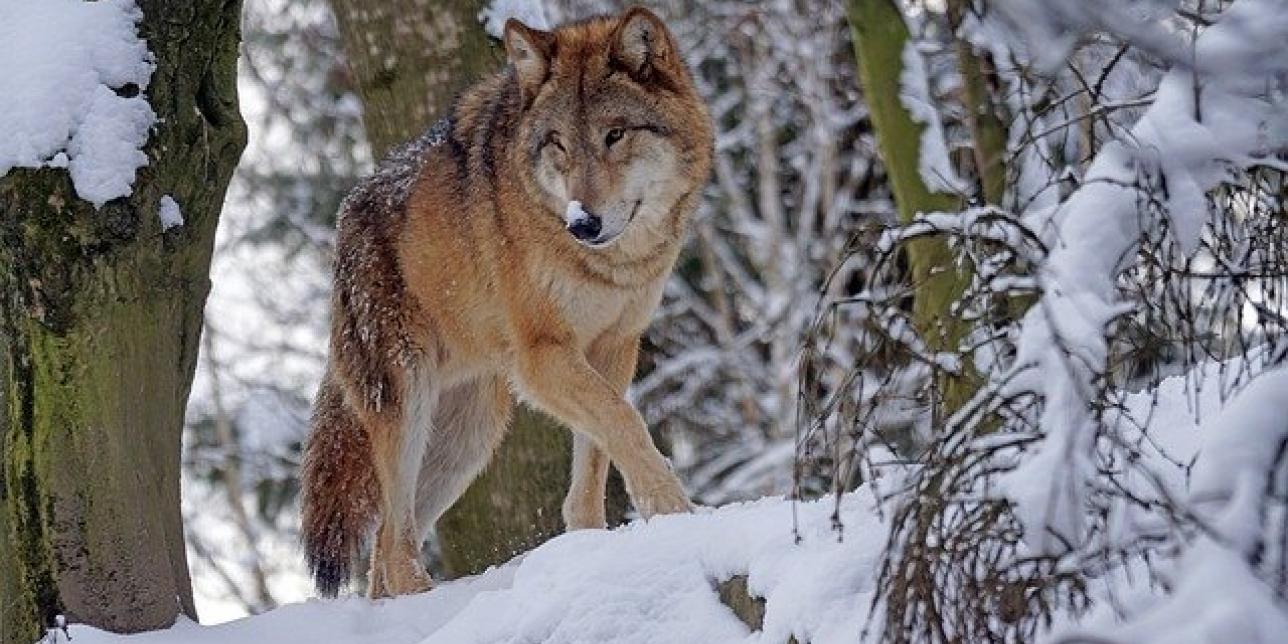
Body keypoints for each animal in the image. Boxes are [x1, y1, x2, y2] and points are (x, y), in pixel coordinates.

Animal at [299, 7, 714, 598]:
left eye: (615, 135)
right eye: (558, 143)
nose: (583, 223)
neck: (612, 265)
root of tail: (345, 217)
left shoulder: (614, 347)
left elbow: (598, 454)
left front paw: (593, 545)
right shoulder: (542, 357)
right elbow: (626, 423)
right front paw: (675, 512)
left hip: (468, 438)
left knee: (383, 550)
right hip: (408, 404)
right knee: (394, 544)